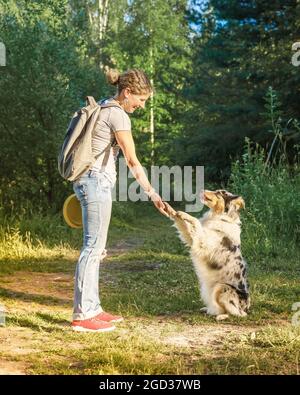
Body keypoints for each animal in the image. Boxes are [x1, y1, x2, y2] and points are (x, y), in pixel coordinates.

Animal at [164, 189, 251, 322]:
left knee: (237, 313)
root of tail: (246, 308)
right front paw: (173, 213)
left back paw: (222, 316)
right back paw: (208, 310)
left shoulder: (204, 242)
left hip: (222, 288)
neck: (219, 217)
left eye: (220, 193)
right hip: (206, 290)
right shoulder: (192, 239)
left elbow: (196, 222)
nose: (201, 189)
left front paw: (185, 214)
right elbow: (186, 227)